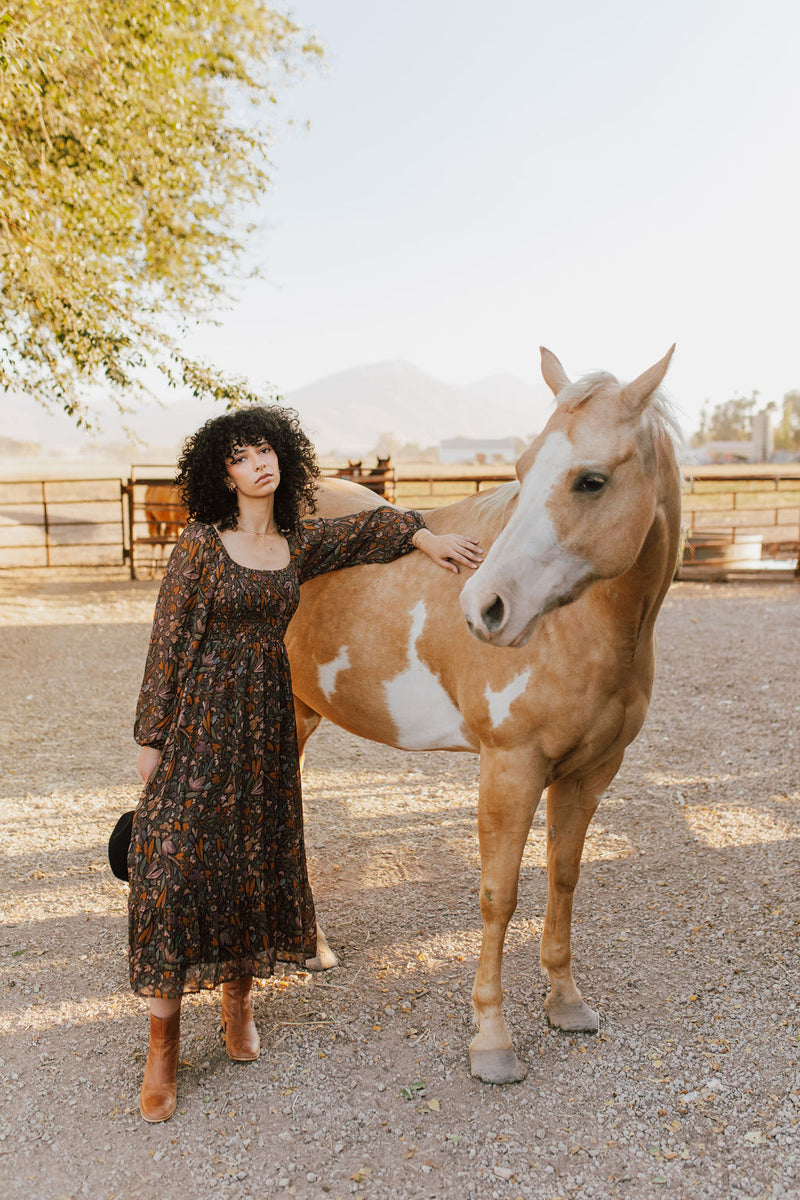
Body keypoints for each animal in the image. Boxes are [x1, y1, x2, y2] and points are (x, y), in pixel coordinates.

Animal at [287, 348, 681, 1089]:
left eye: (591, 480)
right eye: (522, 469)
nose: (484, 607)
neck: (585, 629)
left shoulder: (590, 773)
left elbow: (563, 876)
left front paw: (566, 1002)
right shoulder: (510, 766)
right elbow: (499, 896)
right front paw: (492, 1040)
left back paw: (312, 948)